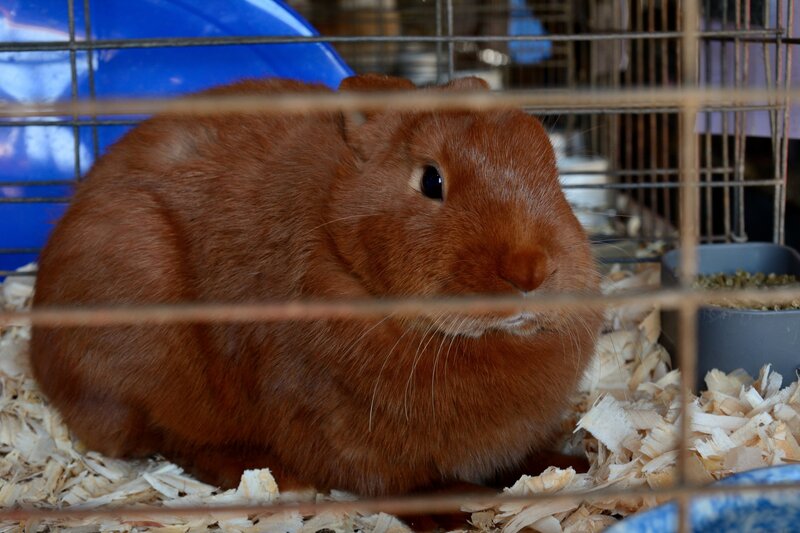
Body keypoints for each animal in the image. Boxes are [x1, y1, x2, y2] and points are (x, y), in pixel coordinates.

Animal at [30, 74, 602, 497]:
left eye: (548, 165)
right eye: (431, 180)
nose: (530, 270)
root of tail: (40, 349)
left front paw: (569, 465)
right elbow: (407, 488)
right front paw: (456, 509)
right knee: (174, 438)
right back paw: (278, 479)